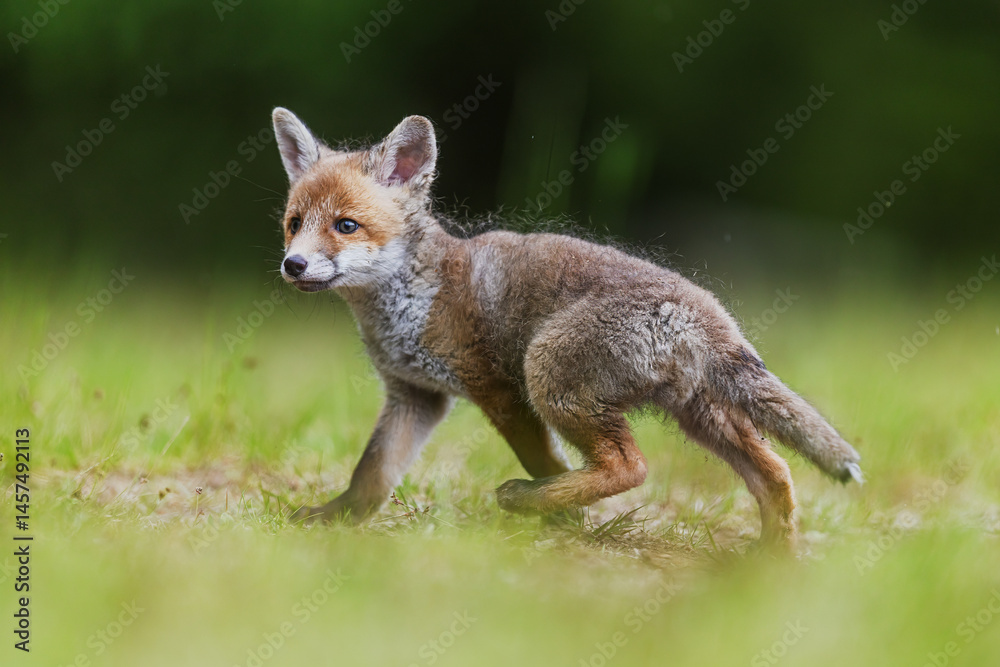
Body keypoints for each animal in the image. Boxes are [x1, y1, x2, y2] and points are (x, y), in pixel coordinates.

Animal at [272, 108, 863, 547]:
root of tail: (707, 311)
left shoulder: (499, 390)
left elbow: (542, 458)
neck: (408, 303)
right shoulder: (415, 396)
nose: (292, 265)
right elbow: (372, 473)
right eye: (294, 224)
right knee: (775, 472)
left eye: (346, 225)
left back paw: (527, 500)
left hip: (548, 373)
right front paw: (338, 518)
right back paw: (769, 565)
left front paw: (563, 522)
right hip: (698, 413)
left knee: (631, 467)